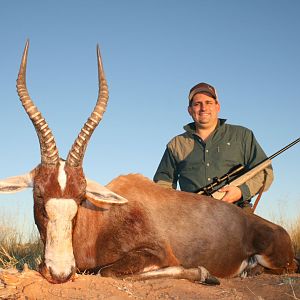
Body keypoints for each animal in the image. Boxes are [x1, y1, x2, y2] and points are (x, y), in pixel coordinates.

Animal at [0, 41, 298, 284]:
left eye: (81, 195)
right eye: (39, 193)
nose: (59, 272)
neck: (101, 219)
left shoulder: (157, 253)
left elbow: (106, 271)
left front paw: (204, 273)